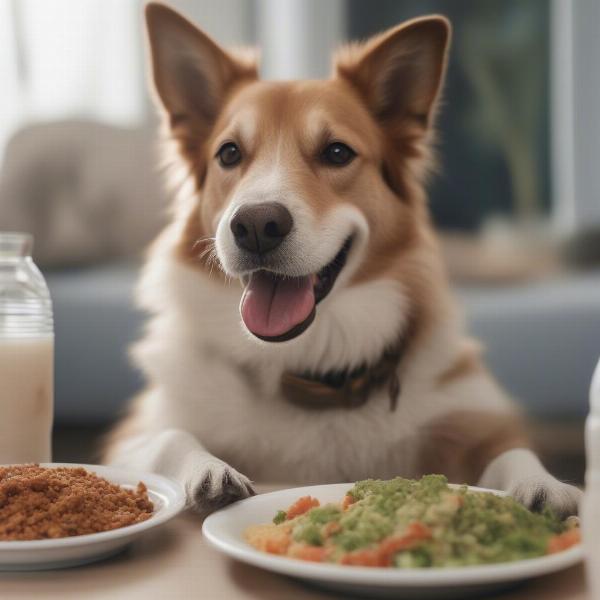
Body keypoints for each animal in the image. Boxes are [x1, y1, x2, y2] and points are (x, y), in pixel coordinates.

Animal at [105, 2, 584, 516]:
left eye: (337, 152)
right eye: (229, 153)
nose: (255, 225)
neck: (312, 364)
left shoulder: (474, 419)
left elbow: (513, 451)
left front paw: (545, 486)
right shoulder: (134, 433)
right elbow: (170, 437)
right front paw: (210, 470)